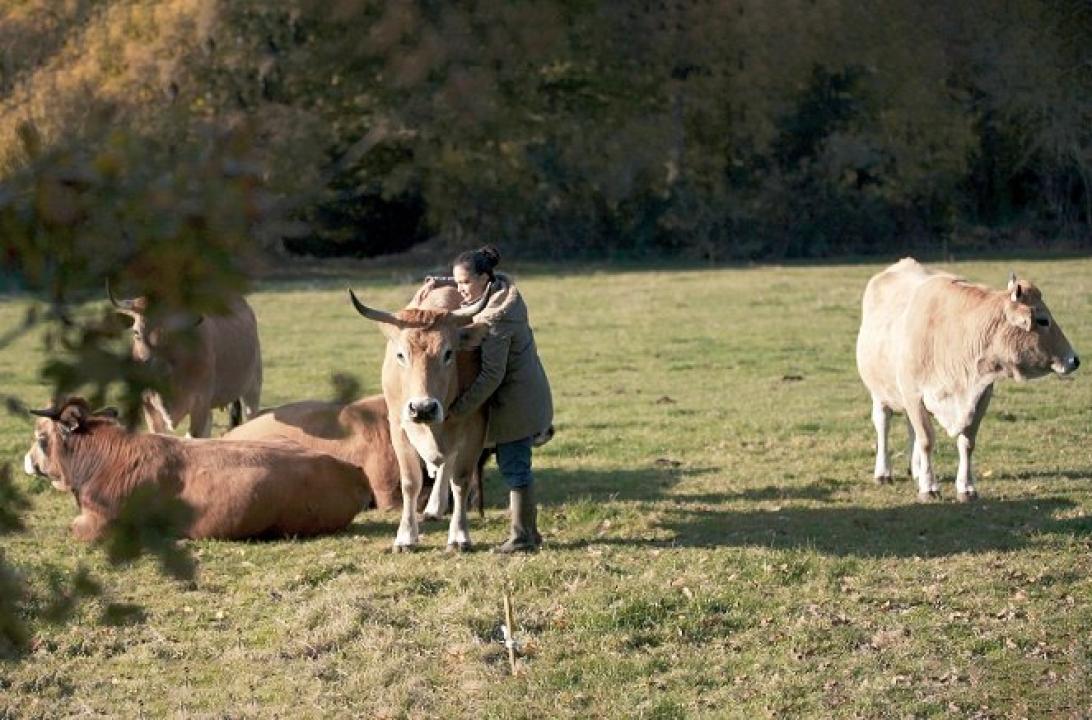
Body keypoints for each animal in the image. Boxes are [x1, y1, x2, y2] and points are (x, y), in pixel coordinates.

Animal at [109, 284, 264, 437]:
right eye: (136, 332)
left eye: (174, 333)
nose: (157, 368)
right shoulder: (148, 406)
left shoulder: (200, 403)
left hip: (253, 387)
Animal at [347, 284, 489, 548]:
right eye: (401, 355)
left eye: (448, 353)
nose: (423, 408)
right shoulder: (399, 427)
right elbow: (411, 482)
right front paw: (405, 536)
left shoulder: (475, 427)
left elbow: (461, 480)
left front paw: (459, 535)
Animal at [856, 257, 1078, 500]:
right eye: (1043, 320)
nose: (1074, 359)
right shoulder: (913, 395)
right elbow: (926, 440)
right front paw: (929, 487)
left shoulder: (981, 396)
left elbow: (967, 443)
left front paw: (966, 487)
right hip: (880, 391)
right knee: (883, 424)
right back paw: (883, 472)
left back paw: (916, 469)